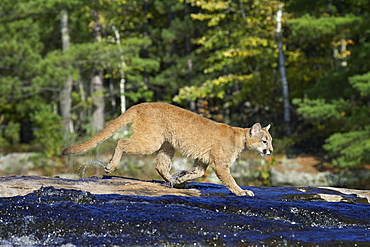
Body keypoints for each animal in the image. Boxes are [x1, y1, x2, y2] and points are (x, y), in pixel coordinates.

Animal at [62, 102, 274, 195]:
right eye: (265, 141)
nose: (271, 150)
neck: (240, 138)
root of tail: (141, 104)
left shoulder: (203, 160)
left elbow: (197, 173)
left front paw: (182, 177)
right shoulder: (220, 163)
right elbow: (230, 180)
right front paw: (242, 192)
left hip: (167, 145)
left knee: (160, 165)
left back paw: (175, 182)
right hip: (152, 140)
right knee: (121, 141)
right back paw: (110, 166)